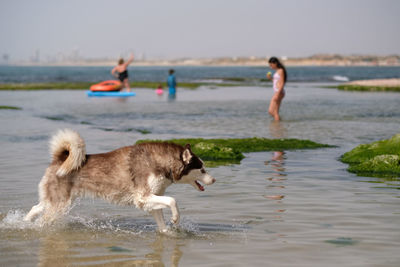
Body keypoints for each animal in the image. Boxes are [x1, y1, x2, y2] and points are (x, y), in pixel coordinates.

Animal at [24, 130, 216, 232]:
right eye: (202, 169)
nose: (214, 179)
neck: (160, 162)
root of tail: (60, 159)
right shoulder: (142, 197)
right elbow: (173, 201)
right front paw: (175, 219)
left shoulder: (151, 199)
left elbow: (162, 217)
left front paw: (167, 233)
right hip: (60, 205)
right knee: (44, 218)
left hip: (55, 200)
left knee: (35, 208)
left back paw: (24, 222)